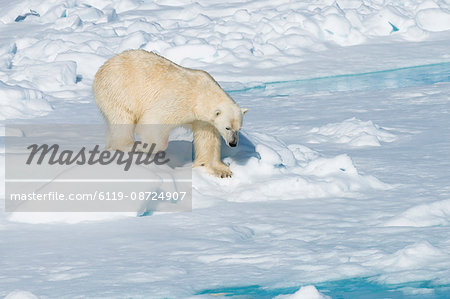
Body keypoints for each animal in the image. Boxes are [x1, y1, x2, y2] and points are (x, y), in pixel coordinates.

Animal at [91, 49, 246, 178]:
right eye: (227, 127)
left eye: (238, 129)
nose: (233, 143)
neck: (202, 94)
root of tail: (102, 68)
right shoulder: (180, 101)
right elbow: (153, 121)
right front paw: (147, 147)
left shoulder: (203, 120)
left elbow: (207, 140)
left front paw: (221, 171)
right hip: (118, 90)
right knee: (123, 118)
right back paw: (128, 146)